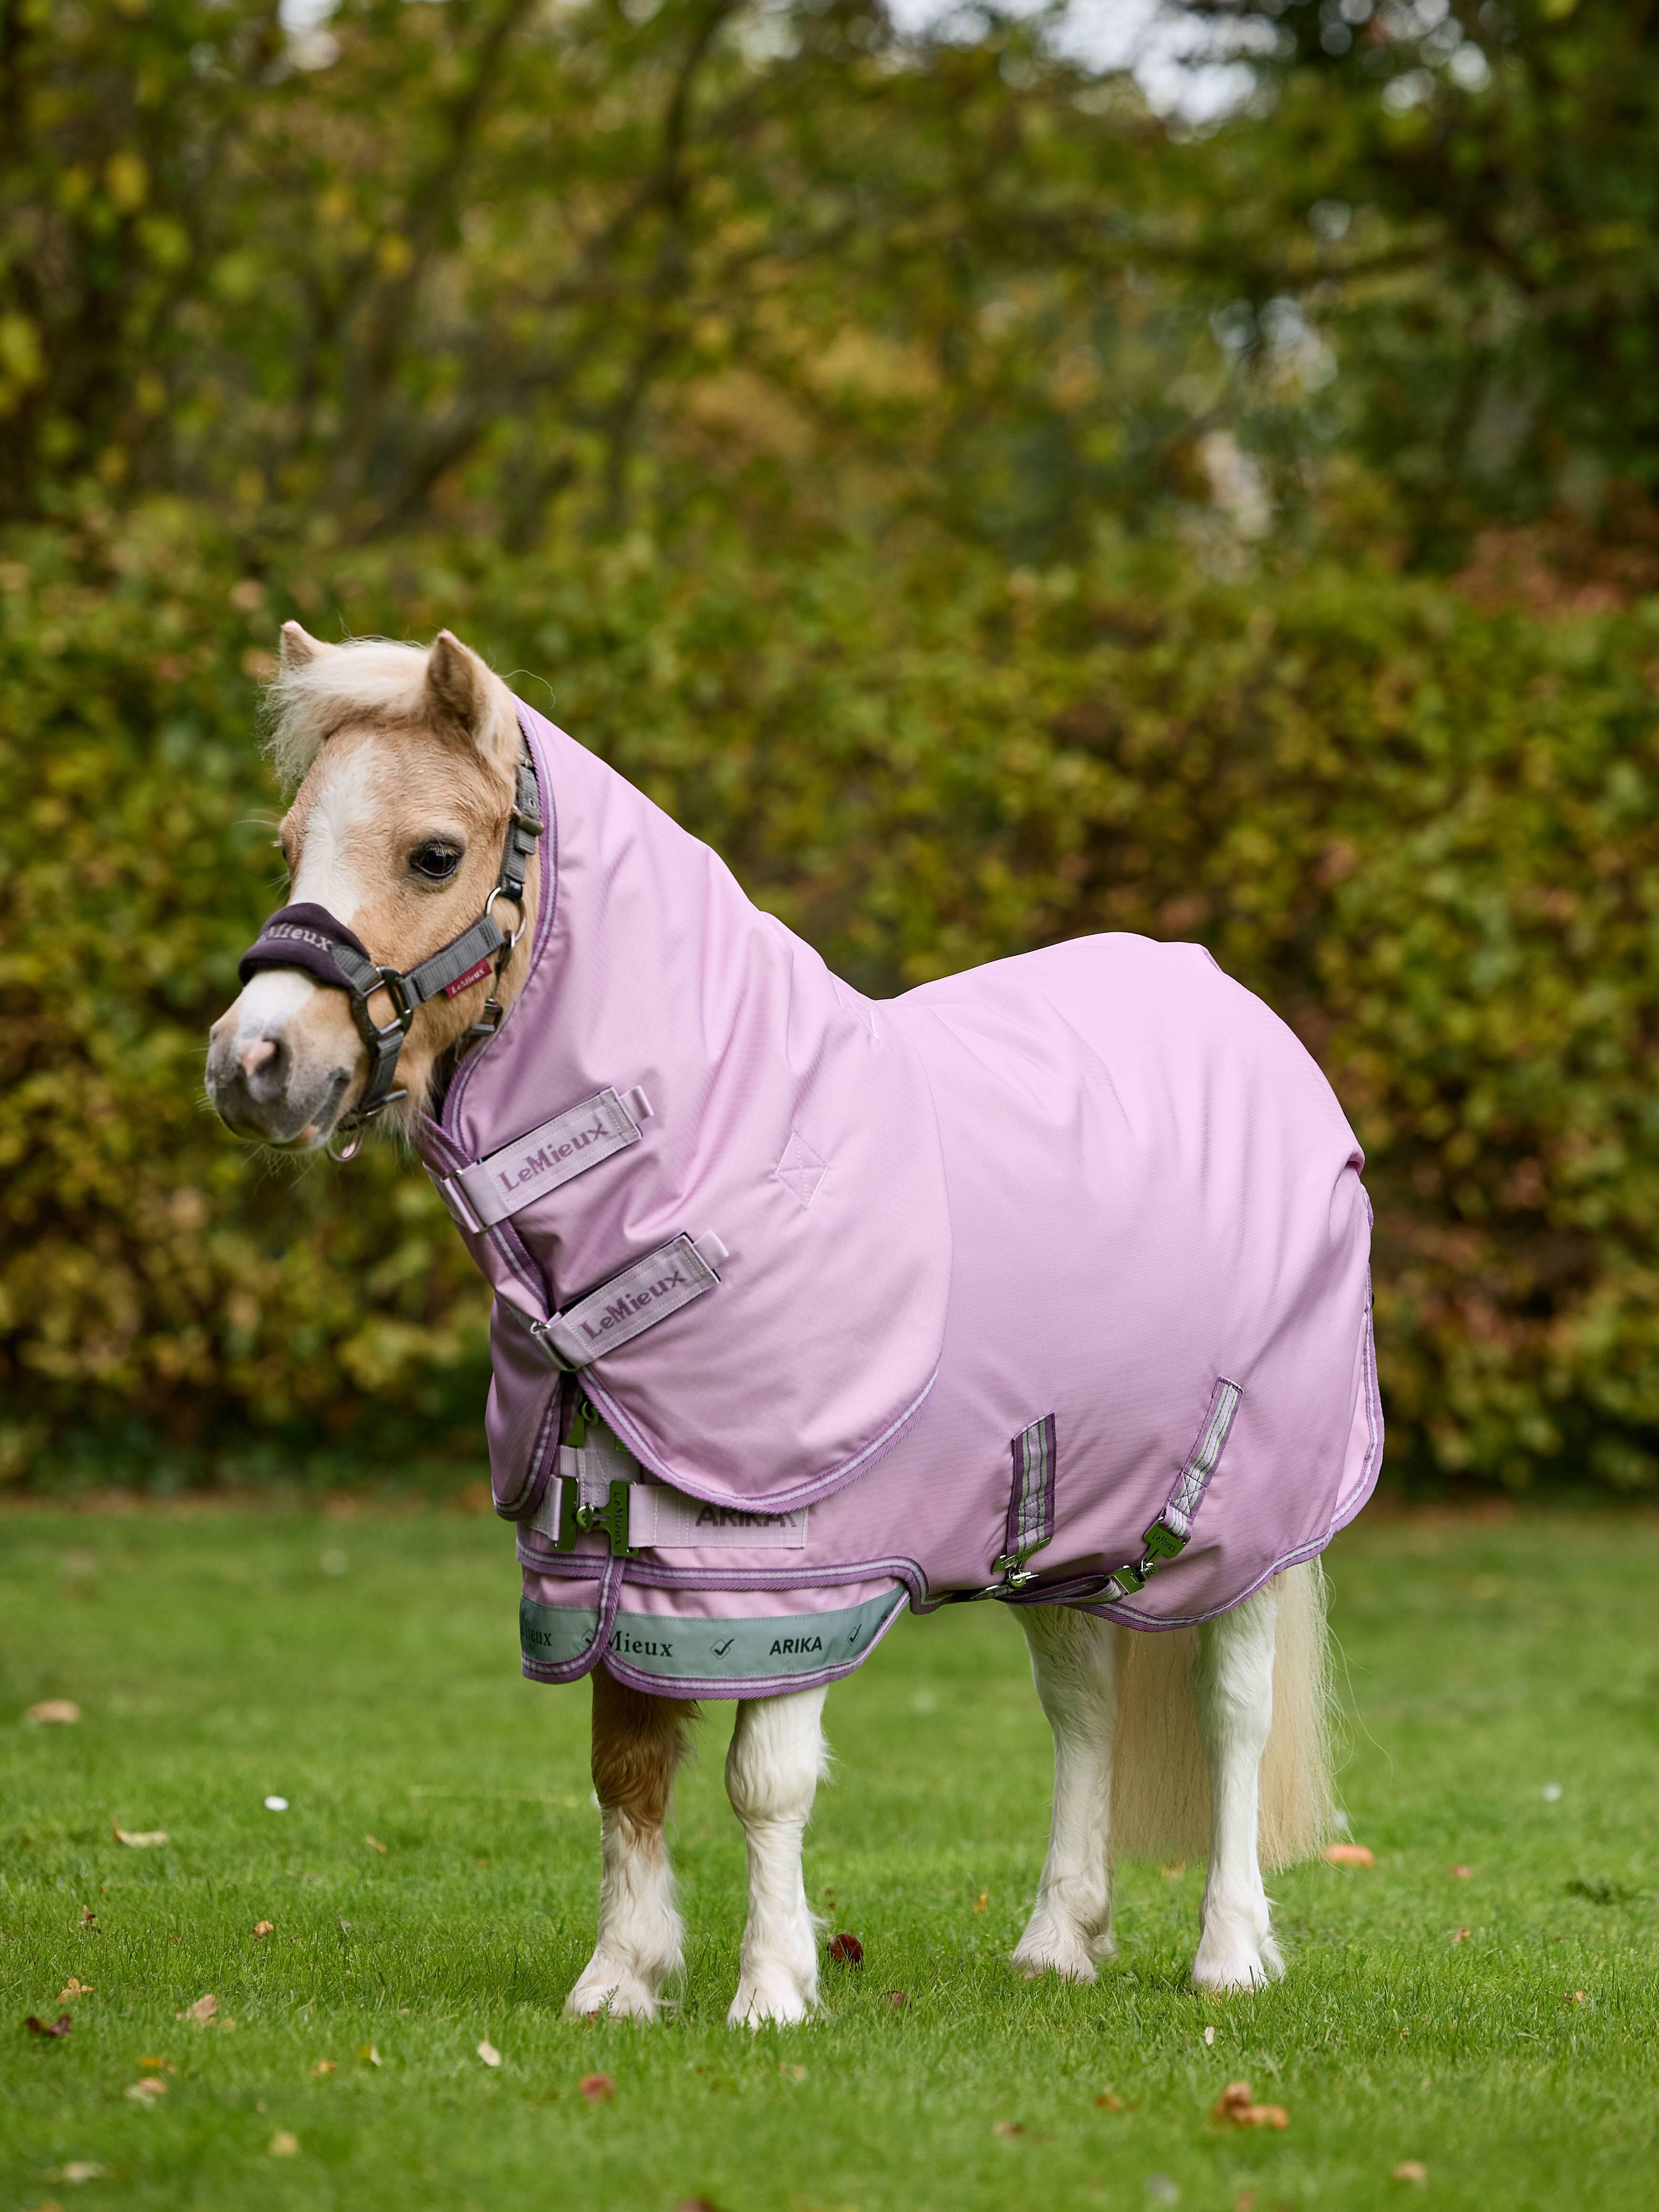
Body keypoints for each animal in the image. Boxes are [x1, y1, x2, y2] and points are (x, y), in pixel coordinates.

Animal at [206, 623, 1379, 2025]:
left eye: (434, 852)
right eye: (290, 842)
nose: (250, 1064)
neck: (722, 1158)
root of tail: (1245, 1020)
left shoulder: (787, 1561)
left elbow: (761, 1779)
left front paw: (769, 1990)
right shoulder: (598, 1552)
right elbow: (625, 1763)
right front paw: (619, 1980)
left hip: (1242, 1522)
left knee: (1230, 1711)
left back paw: (1228, 1954)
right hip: (1058, 1518)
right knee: (1082, 1705)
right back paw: (1056, 1939)